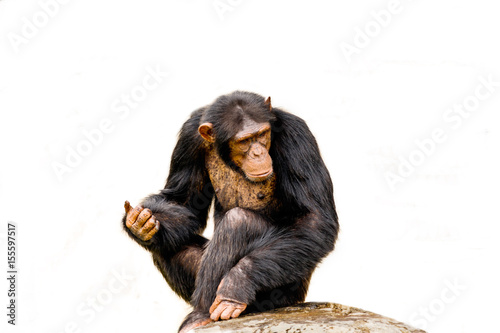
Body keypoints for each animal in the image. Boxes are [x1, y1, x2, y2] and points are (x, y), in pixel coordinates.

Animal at [122, 91, 338, 332]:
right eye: (244, 141)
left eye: (262, 134)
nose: (257, 152)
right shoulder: (188, 139)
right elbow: (184, 202)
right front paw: (141, 223)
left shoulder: (297, 137)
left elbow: (313, 219)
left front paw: (237, 283)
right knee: (166, 245)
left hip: (286, 290)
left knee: (238, 222)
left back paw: (204, 314)